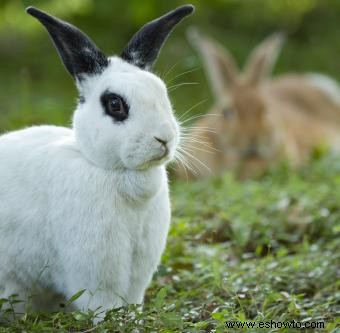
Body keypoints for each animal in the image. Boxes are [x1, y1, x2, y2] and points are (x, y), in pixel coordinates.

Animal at [0, 5, 194, 316]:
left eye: (162, 93)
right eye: (115, 104)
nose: (163, 138)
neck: (117, 172)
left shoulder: (138, 269)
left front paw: (134, 317)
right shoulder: (95, 267)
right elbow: (103, 304)